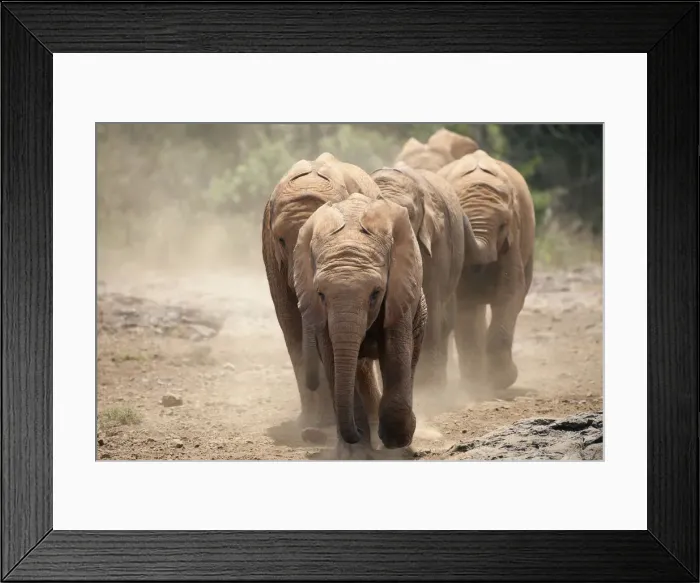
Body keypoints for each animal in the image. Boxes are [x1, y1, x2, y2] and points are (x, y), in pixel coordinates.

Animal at [293, 193, 428, 458]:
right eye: (321, 294)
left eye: (375, 293)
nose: (356, 432)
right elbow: (334, 362)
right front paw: (356, 453)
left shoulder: (398, 291)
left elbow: (396, 353)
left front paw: (395, 444)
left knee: (410, 359)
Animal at [438, 149, 536, 394]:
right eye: (459, 220)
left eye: (502, 225)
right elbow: (464, 302)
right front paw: (475, 386)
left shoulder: (513, 237)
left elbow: (510, 294)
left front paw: (500, 381)